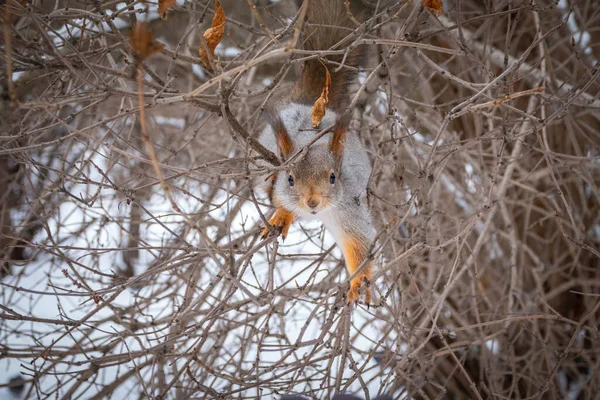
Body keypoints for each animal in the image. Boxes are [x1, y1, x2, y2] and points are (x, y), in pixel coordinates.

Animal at [258, 0, 376, 304]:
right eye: (290, 179)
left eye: (333, 177)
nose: (312, 202)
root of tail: (311, 104)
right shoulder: (281, 189)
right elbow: (282, 202)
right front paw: (282, 216)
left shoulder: (350, 208)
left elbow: (359, 245)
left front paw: (360, 282)